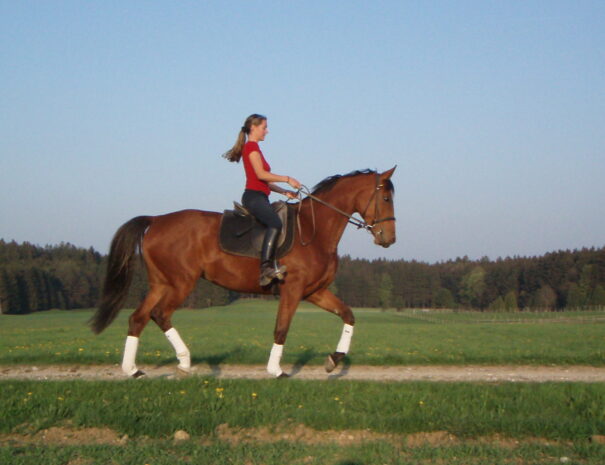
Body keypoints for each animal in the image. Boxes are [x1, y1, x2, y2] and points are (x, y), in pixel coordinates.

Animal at [87, 167, 394, 376]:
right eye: (386, 198)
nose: (389, 238)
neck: (314, 230)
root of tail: (156, 219)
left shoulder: (315, 292)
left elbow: (348, 315)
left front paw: (334, 359)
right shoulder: (293, 289)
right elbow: (281, 328)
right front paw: (276, 370)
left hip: (161, 283)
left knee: (138, 318)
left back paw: (133, 370)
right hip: (180, 283)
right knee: (160, 314)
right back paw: (184, 362)